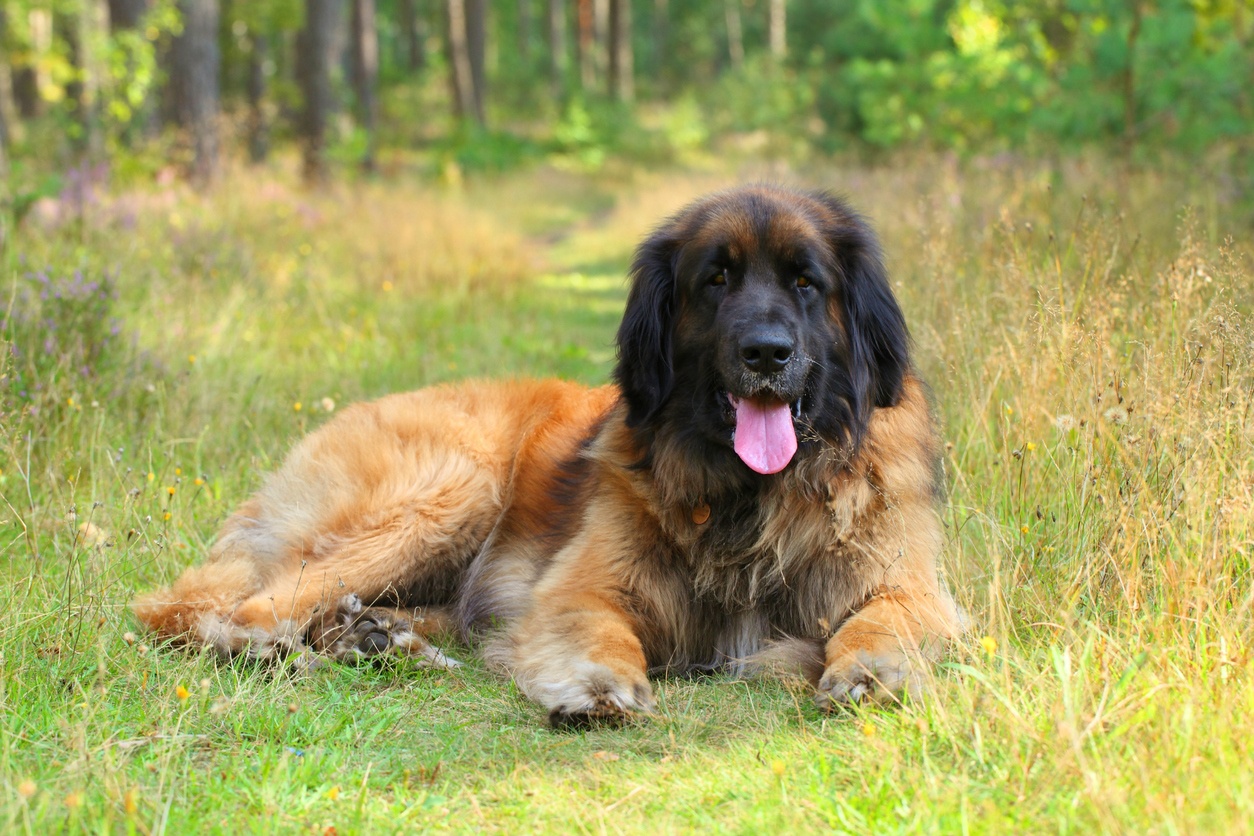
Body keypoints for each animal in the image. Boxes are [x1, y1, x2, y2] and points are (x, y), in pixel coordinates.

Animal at [134, 184, 958, 726]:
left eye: (806, 282)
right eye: (716, 280)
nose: (766, 353)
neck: (750, 496)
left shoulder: (908, 583)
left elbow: (886, 617)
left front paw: (872, 668)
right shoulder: (580, 587)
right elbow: (597, 629)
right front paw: (595, 684)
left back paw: (373, 640)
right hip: (453, 486)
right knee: (226, 609)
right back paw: (284, 650)